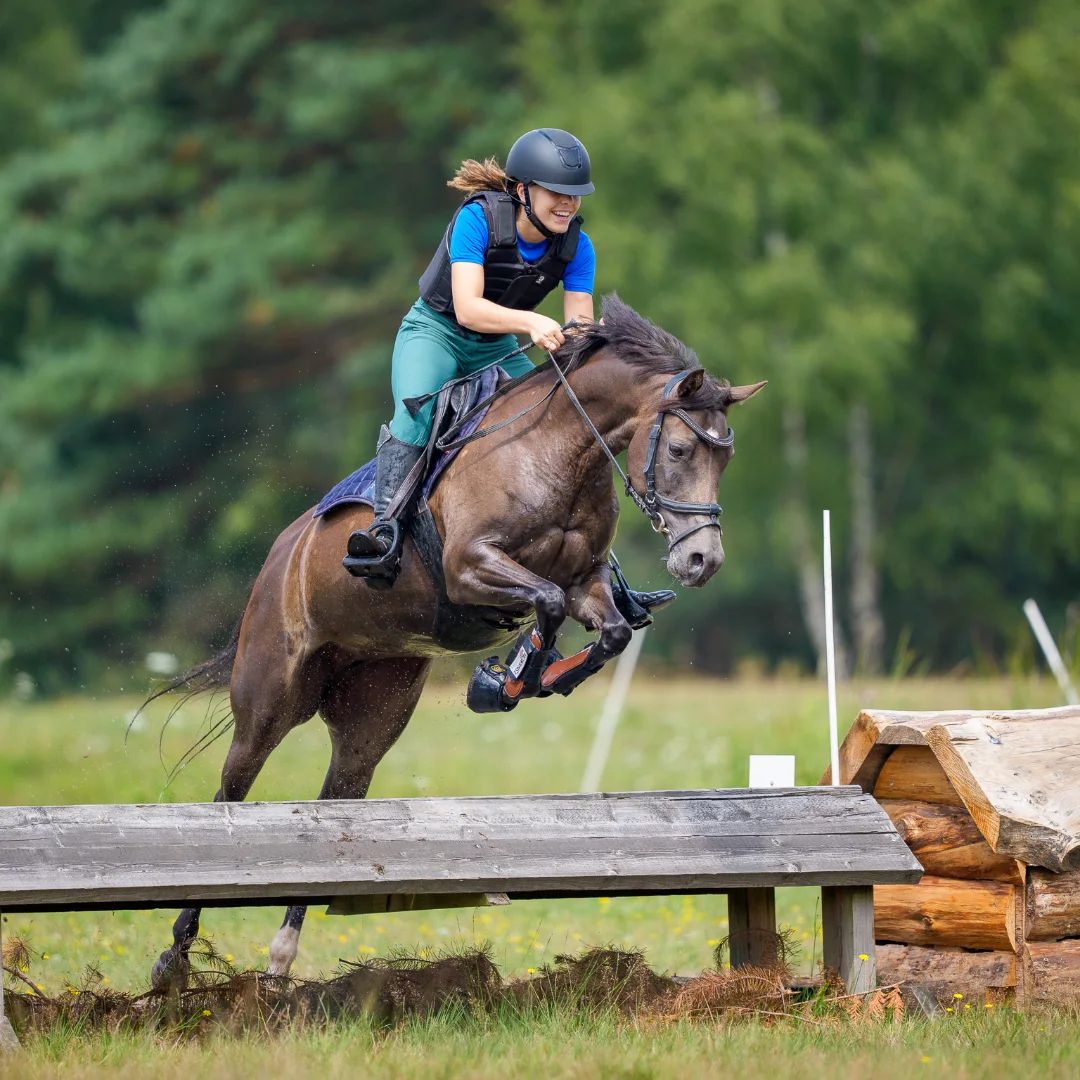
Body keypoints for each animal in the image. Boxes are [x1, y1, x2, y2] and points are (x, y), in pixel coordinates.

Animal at [148, 295, 765, 987]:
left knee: (339, 796)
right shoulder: (471, 567)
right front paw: (508, 677)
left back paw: (281, 960)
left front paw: (519, 679)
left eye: (726, 460)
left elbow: (603, 629)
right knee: (233, 788)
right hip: (270, 698)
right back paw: (174, 959)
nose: (702, 562)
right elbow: (546, 605)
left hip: (374, 711)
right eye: (681, 449)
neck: (559, 452)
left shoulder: (585, 581)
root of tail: (279, 559)